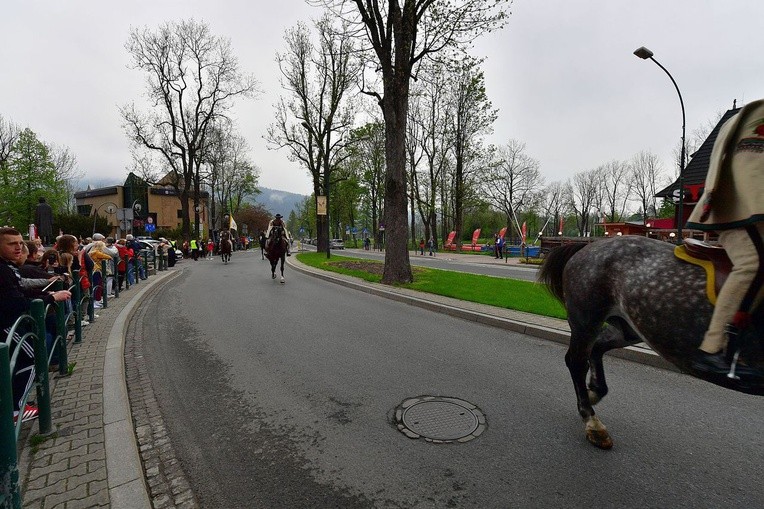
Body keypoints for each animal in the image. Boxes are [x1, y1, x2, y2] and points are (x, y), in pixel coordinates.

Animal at [540, 235, 760, 448]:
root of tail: (588, 246)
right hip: (587, 320)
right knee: (577, 362)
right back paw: (593, 423)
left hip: (632, 327)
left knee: (597, 348)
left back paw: (594, 392)